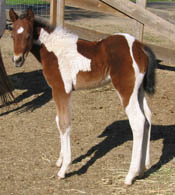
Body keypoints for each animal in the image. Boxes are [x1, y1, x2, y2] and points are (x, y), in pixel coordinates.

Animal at [9, 8, 157, 184]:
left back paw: (130, 176)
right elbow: (58, 120)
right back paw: (142, 169)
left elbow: (64, 123)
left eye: (28, 35)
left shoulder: (61, 90)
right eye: (12, 35)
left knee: (138, 121)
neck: (53, 50)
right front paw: (60, 160)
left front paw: (64, 169)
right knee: (147, 117)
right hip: (138, 91)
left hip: (126, 90)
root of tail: (140, 47)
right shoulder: (59, 92)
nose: (17, 60)